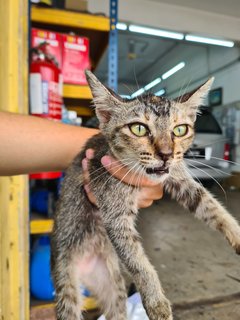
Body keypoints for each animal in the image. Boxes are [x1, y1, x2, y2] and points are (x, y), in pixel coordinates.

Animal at [51, 70, 240, 320]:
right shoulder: (114, 215)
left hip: (113, 287)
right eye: (139, 128)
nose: (167, 154)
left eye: (180, 130)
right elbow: (137, 260)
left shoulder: (180, 178)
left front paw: (237, 234)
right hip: (66, 285)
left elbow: (211, 205)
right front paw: (156, 301)